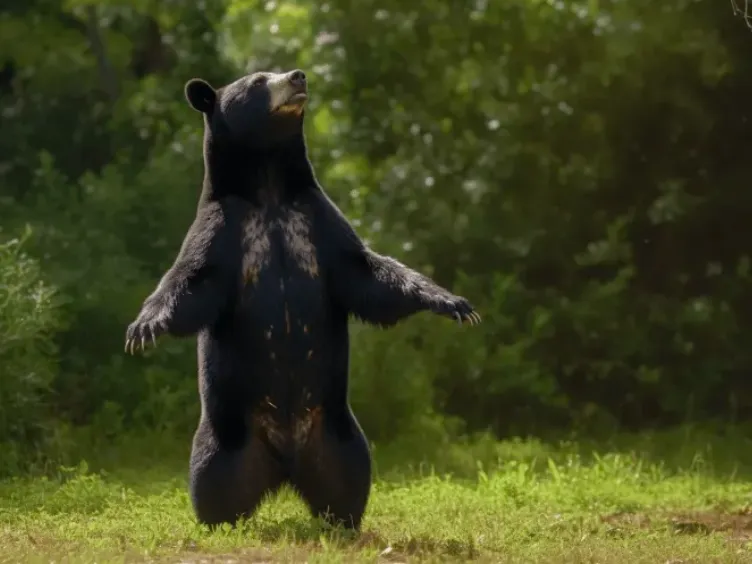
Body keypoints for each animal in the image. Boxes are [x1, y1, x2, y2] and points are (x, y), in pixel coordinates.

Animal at [124, 68, 481, 530]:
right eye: (258, 81)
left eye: (279, 69)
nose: (298, 76)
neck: (269, 185)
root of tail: (285, 466)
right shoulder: (223, 230)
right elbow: (189, 283)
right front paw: (144, 327)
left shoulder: (316, 221)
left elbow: (369, 274)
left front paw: (454, 303)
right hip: (226, 435)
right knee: (211, 479)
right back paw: (217, 520)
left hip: (338, 434)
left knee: (350, 478)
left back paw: (343, 521)